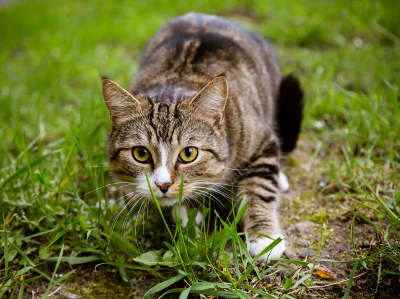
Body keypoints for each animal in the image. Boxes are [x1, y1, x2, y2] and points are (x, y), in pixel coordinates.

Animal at [101, 12, 304, 262]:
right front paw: (186, 211)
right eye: (141, 153)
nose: (163, 184)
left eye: (189, 153)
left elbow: (260, 186)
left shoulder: (261, 139)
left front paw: (265, 238)